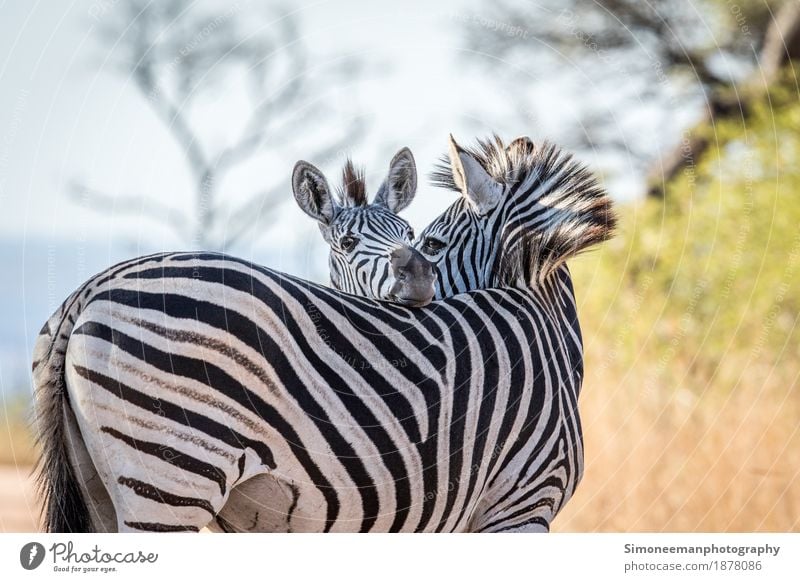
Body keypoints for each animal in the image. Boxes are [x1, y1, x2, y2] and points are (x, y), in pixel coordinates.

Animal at [34, 136, 616, 532]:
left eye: (423, 239)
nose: (418, 277)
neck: (541, 316)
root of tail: (90, 287)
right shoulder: (521, 502)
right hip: (171, 473)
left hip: (105, 487)